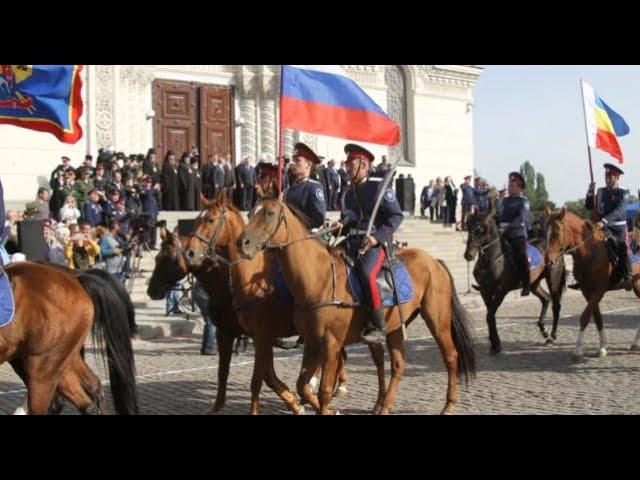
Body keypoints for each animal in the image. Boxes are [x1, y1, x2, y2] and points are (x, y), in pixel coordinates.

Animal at [180, 191, 378, 416]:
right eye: (197, 220)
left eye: (211, 220)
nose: (189, 253)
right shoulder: (232, 333)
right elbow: (228, 372)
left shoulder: (262, 336)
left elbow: (259, 379)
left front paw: (291, 403)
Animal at [238, 197, 478, 414]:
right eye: (250, 212)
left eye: (269, 213)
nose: (242, 243)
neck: (319, 278)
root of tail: (435, 261)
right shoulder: (312, 342)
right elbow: (302, 385)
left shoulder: (331, 344)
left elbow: (324, 390)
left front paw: (326, 407)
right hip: (394, 327)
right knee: (398, 364)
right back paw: (384, 406)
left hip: (437, 320)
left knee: (450, 356)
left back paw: (448, 405)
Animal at [464, 206, 564, 352]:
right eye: (468, 227)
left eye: (480, 229)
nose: (468, 255)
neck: (493, 259)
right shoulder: (485, 291)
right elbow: (490, 315)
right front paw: (494, 343)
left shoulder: (501, 291)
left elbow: (489, 315)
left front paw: (496, 344)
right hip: (534, 284)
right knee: (546, 299)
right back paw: (543, 329)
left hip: (553, 280)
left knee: (556, 305)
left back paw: (552, 335)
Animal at [544, 208, 640, 358]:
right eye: (545, 232)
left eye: (556, 233)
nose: (548, 261)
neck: (590, 251)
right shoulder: (587, 291)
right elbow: (597, 316)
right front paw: (602, 347)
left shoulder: (598, 290)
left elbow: (585, 316)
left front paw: (578, 349)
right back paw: (635, 343)